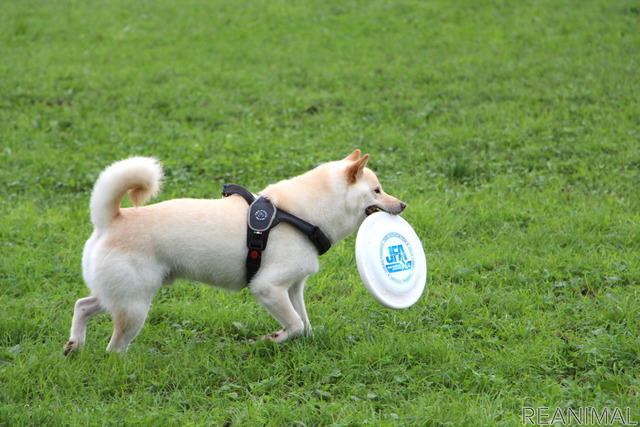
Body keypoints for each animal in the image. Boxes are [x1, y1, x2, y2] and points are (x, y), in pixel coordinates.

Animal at [63, 150, 404, 354]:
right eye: (377, 190)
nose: (402, 205)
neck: (302, 215)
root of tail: (111, 219)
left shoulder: (293, 288)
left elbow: (303, 322)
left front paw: (302, 339)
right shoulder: (267, 287)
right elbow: (293, 325)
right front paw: (273, 338)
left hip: (121, 295)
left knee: (83, 305)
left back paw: (74, 345)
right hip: (135, 304)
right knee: (114, 347)